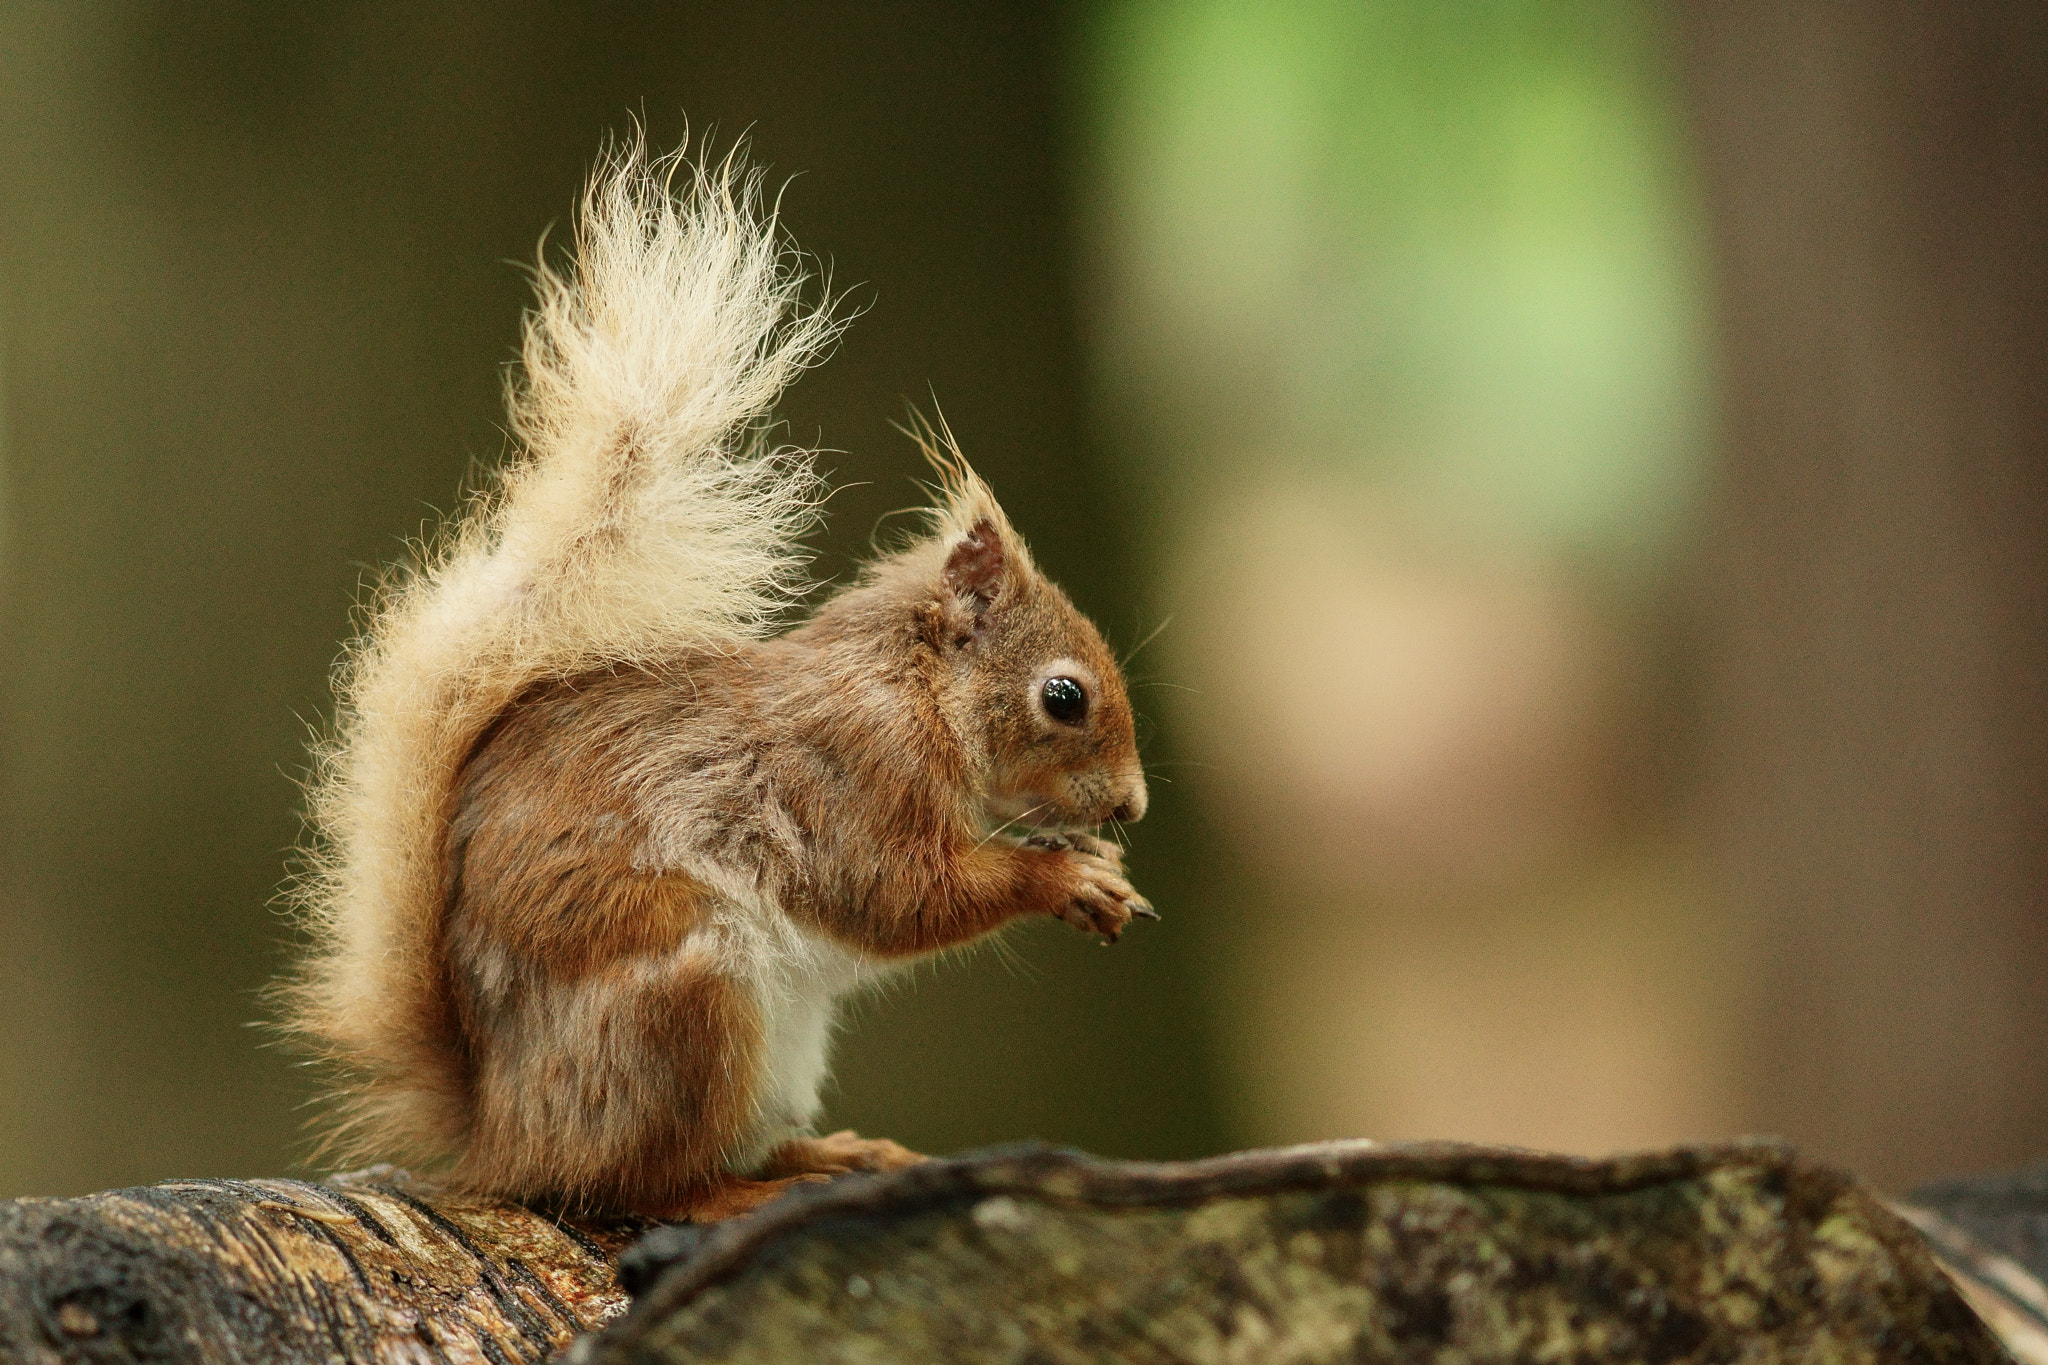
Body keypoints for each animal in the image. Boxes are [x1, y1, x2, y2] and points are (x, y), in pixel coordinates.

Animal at [281, 139, 1153, 1221]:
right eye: (1063, 697)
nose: (1132, 806)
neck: (915, 693)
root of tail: (503, 1129)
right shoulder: (851, 777)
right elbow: (900, 895)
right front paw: (1064, 878)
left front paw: (1100, 868)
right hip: (686, 1005)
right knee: (642, 1184)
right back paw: (733, 1196)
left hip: (772, 1053)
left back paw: (827, 1154)